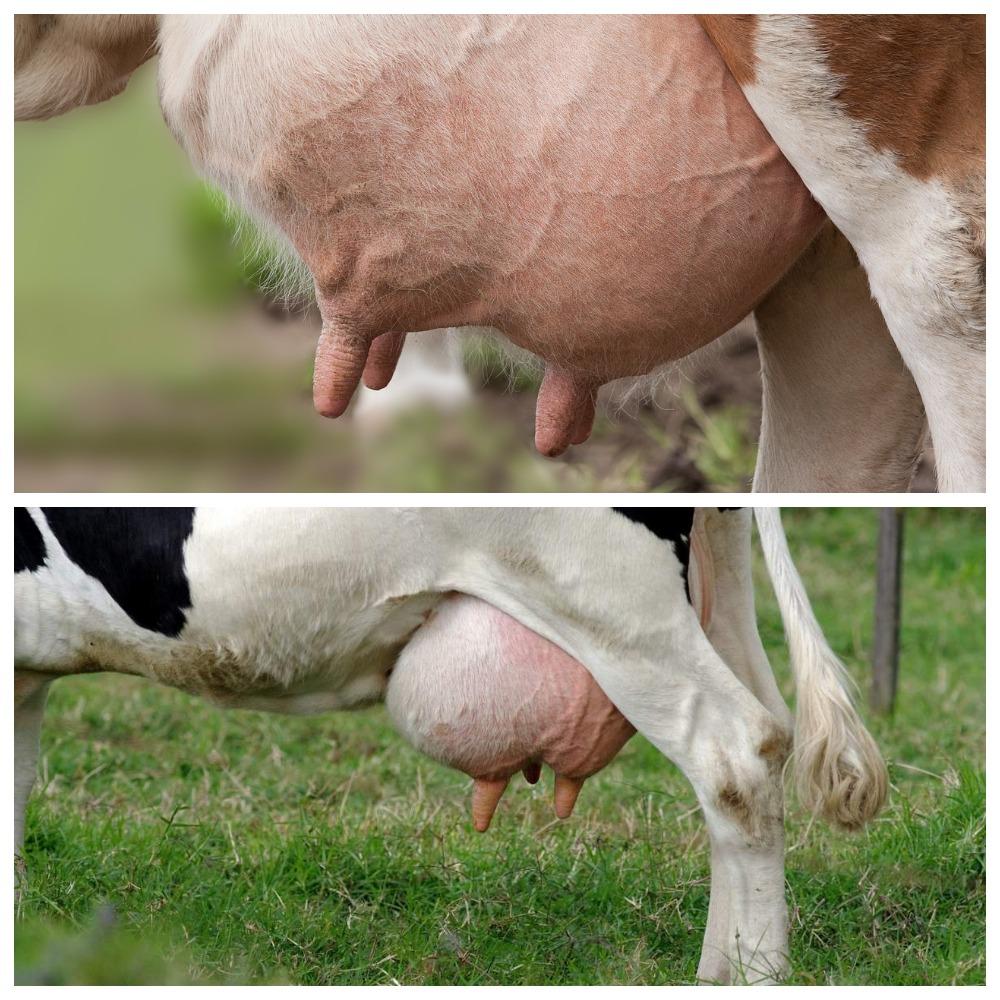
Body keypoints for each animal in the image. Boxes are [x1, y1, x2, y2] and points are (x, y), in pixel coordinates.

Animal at [15, 506, 887, 984]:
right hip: (712, 593)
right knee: (769, 736)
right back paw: (717, 970)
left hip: (616, 604)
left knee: (733, 753)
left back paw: (755, 975)